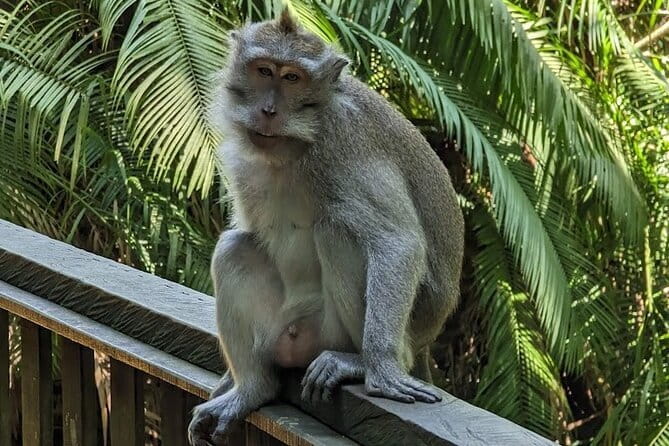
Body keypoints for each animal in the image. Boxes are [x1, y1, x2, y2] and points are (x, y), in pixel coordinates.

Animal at [188, 9, 464, 446]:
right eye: (264, 71)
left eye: (292, 78)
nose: (268, 110)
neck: (294, 144)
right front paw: (228, 382)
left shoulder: (346, 139)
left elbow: (396, 241)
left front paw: (381, 365)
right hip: (280, 328)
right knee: (236, 247)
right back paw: (252, 387)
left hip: (337, 330)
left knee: (336, 230)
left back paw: (359, 361)